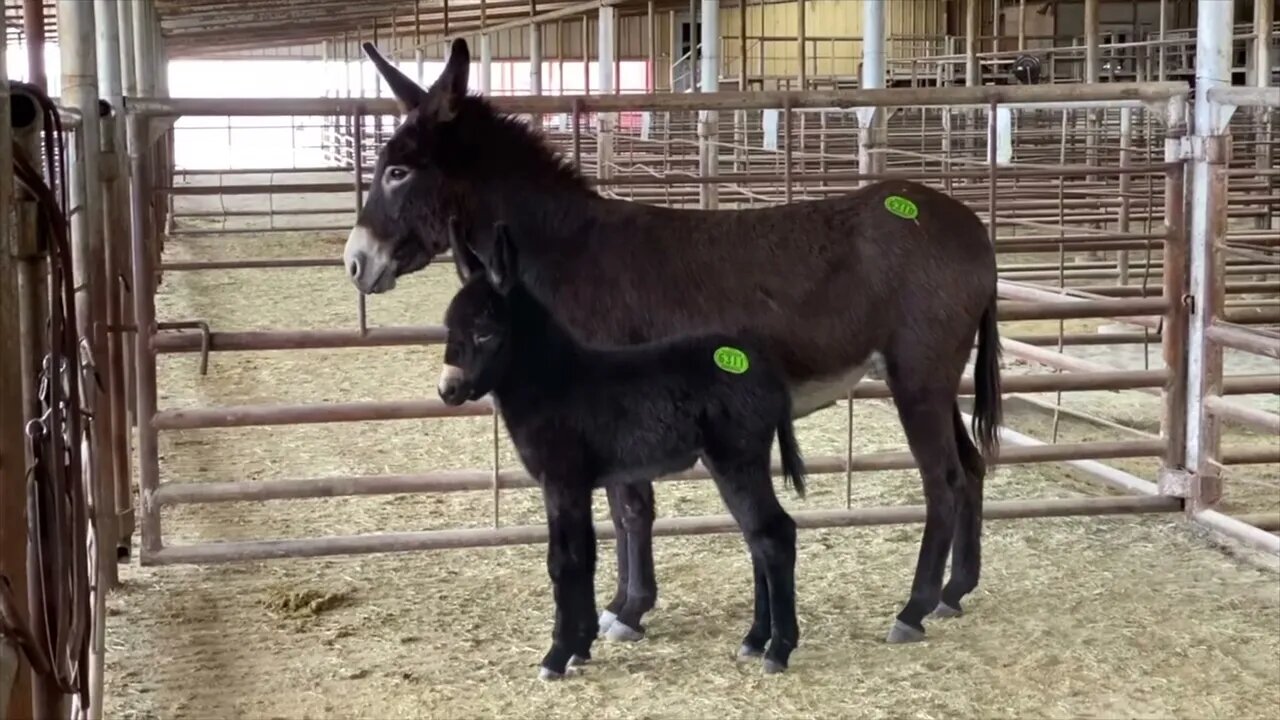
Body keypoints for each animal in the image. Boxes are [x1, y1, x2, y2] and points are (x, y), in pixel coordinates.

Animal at [345, 37, 1003, 645]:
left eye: (397, 171)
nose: (354, 263)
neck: (564, 253)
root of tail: (971, 225)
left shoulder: (608, 397)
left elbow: (632, 506)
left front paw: (627, 612)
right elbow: (622, 507)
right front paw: (621, 604)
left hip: (918, 374)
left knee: (943, 480)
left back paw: (913, 609)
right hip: (935, 376)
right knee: (971, 467)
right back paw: (955, 592)